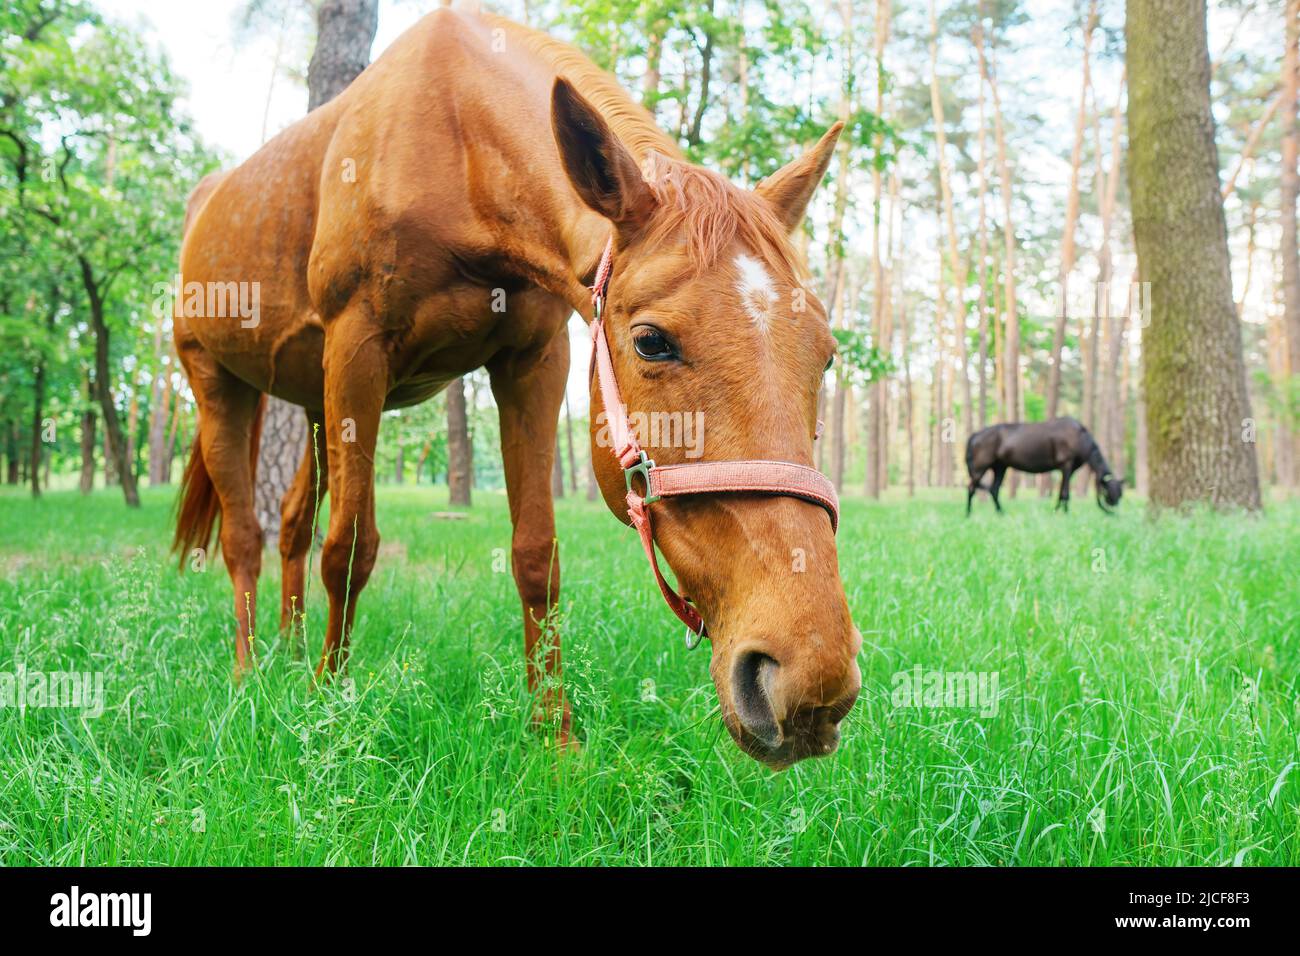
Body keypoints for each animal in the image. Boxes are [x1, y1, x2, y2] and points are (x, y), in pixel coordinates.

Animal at [170, 8, 860, 768]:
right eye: (652, 341)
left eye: (826, 356)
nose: (811, 679)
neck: (457, 141)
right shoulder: (357, 352)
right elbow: (349, 548)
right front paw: (328, 709)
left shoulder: (533, 362)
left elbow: (536, 555)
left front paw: (553, 733)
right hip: (220, 384)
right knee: (245, 538)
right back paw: (250, 673)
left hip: (314, 407)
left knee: (291, 524)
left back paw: (290, 653)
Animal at [965, 417, 1123, 514]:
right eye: (1110, 493)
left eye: (1120, 494)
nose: (1115, 511)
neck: (1081, 438)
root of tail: (976, 433)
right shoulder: (1066, 465)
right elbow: (1065, 493)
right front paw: (1065, 513)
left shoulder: (1068, 470)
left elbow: (1061, 493)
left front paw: (1057, 511)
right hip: (980, 468)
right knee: (972, 488)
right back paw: (968, 513)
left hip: (1000, 467)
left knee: (994, 490)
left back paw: (1001, 513)